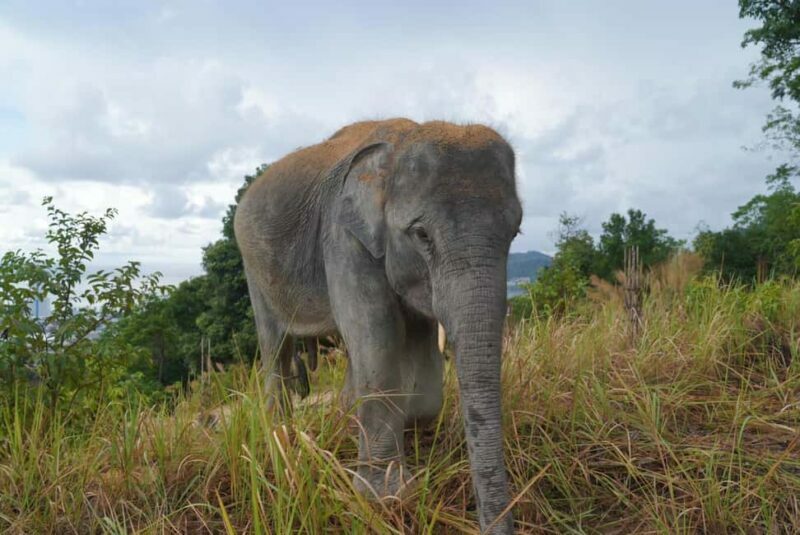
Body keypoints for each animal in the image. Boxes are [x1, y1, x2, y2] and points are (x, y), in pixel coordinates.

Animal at [234, 118, 522, 534]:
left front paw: (416, 448)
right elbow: (379, 340)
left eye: (515, 233)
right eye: (422, 234)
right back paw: (282, 437)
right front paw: (384, 495)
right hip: (253, 272)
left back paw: (340, 425)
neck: (403, 141)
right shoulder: (342, 238)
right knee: (275, 348)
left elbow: (422, 373)